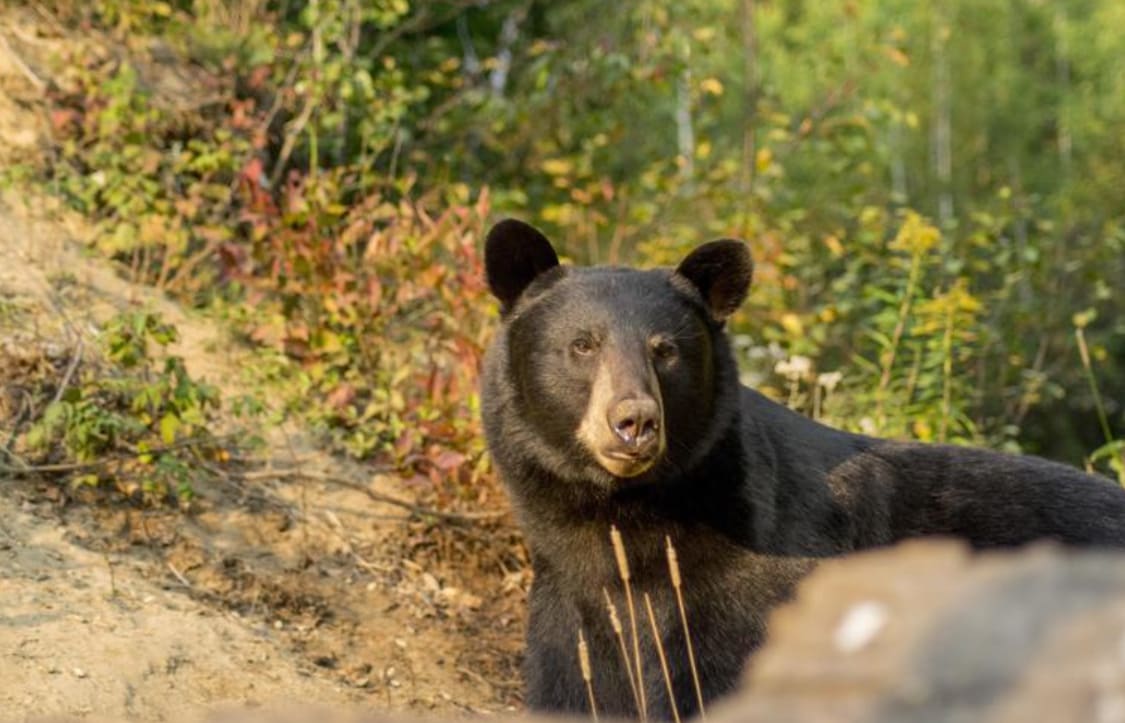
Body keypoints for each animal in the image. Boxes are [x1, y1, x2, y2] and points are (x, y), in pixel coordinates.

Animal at [479, 218, 1125, 719]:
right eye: (582, 345)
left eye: (666, 350)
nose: (634, 421)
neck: (626, 520)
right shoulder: (571, 611)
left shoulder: (757, 593)